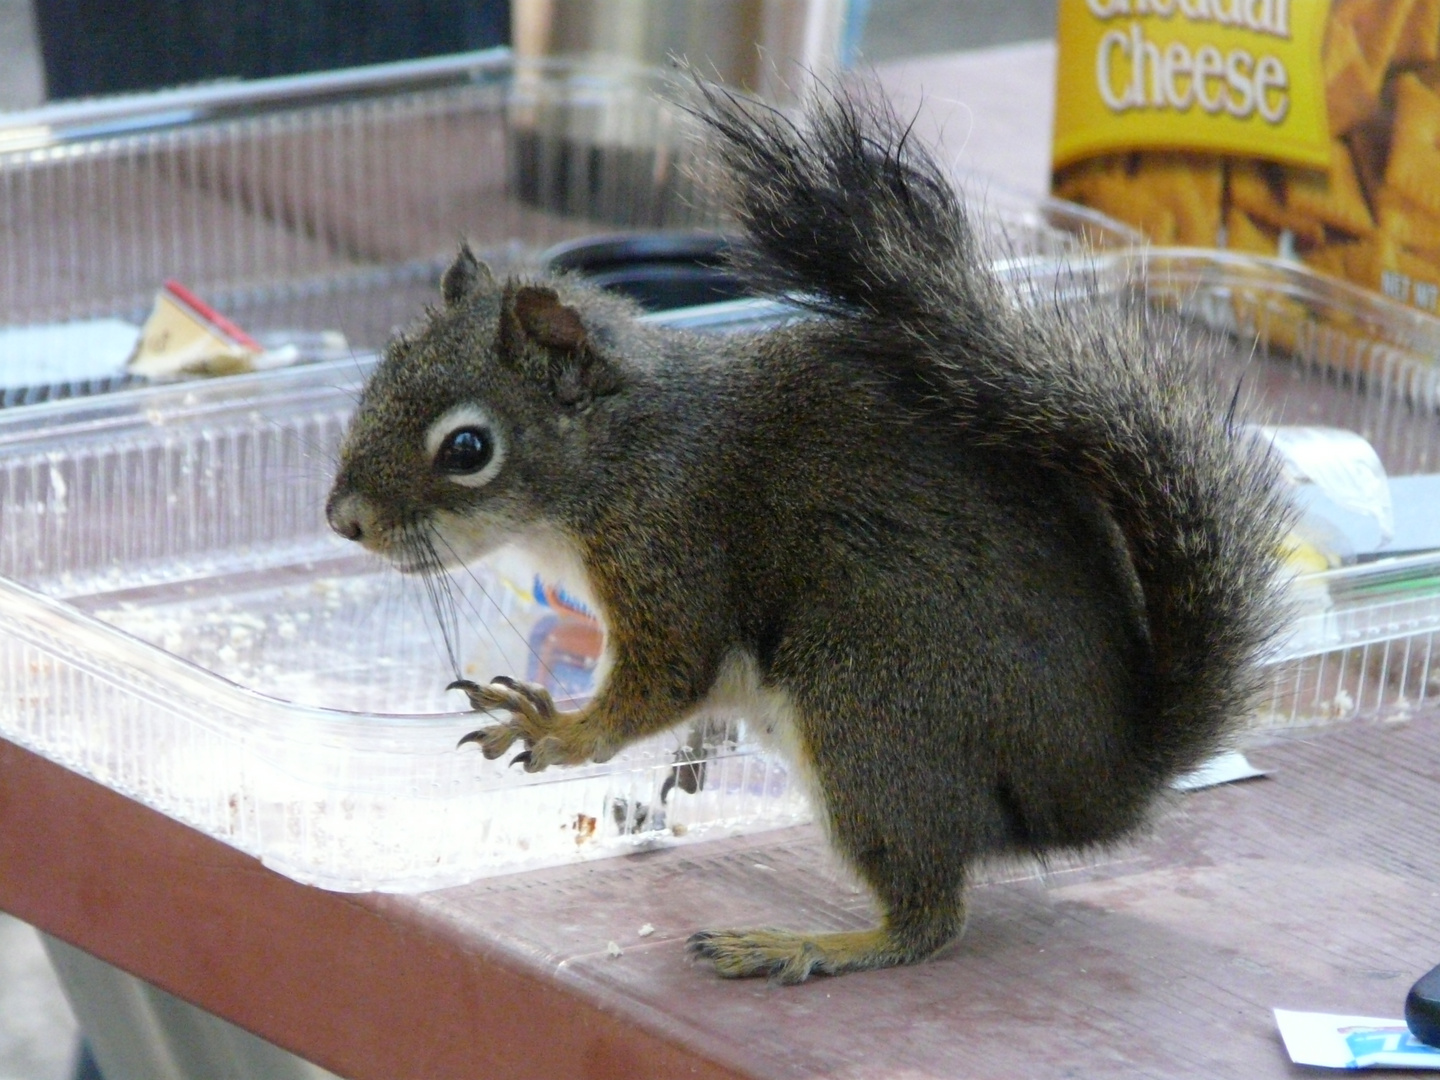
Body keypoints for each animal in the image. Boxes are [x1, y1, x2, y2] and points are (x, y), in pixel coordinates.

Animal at [329, 80, 1296, 984]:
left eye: (467, 448)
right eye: (381, 374)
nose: (343, 520)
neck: (623, 448)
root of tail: (1104, 783)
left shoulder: (672, 545)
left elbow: (665, 680)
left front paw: (557, 728)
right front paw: (680, 759)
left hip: (868, 704)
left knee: (927, 917)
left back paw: (802, 944)